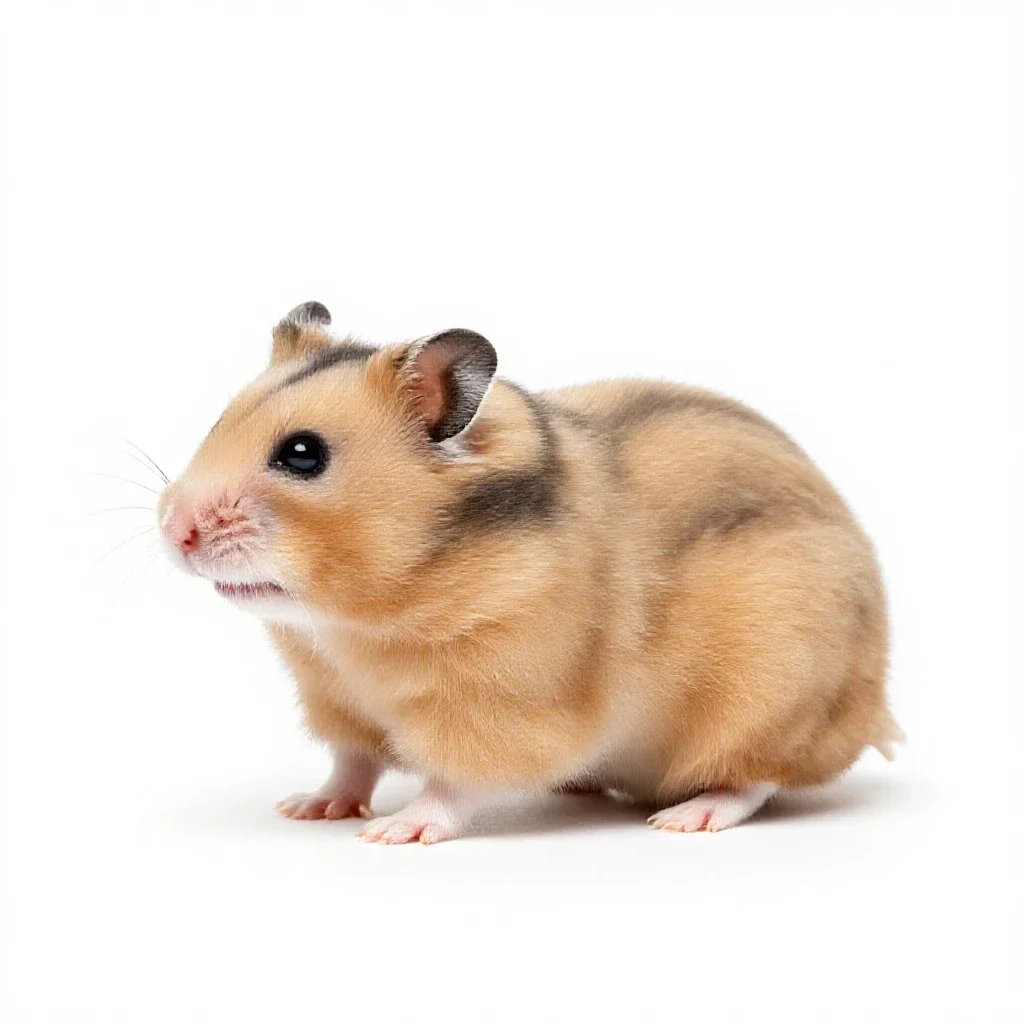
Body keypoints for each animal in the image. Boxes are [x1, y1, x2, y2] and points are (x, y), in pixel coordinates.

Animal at [157, 301, 901, 843]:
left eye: (303, 455)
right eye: (220, 420)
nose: (173, 533)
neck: (353, 625)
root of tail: (873, 711)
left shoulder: (496, 704)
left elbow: (453, 784)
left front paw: (394, 832)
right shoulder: (337, 699)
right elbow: (352, 762)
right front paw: (307, 809)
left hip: (772, 695)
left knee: (755, 777)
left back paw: (684, 817)